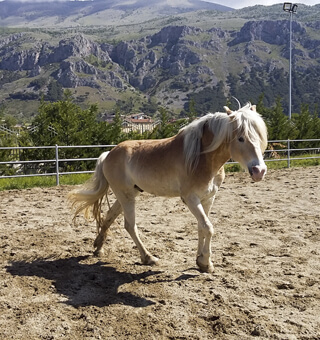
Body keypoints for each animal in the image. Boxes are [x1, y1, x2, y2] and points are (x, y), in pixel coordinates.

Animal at [69, 102, 268, 272]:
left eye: (260, 137)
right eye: (241, 138)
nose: (259, 171)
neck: (201, 157)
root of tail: (109, 154)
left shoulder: (208, 198)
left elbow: (202, 227)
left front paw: (201, 261)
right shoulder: (191, 199)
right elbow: (208, 227)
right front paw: (205, 262)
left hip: (127, 194)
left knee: (109, 216)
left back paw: (98, 248)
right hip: (126, 196)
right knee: (130, 225)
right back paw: (148, 258)